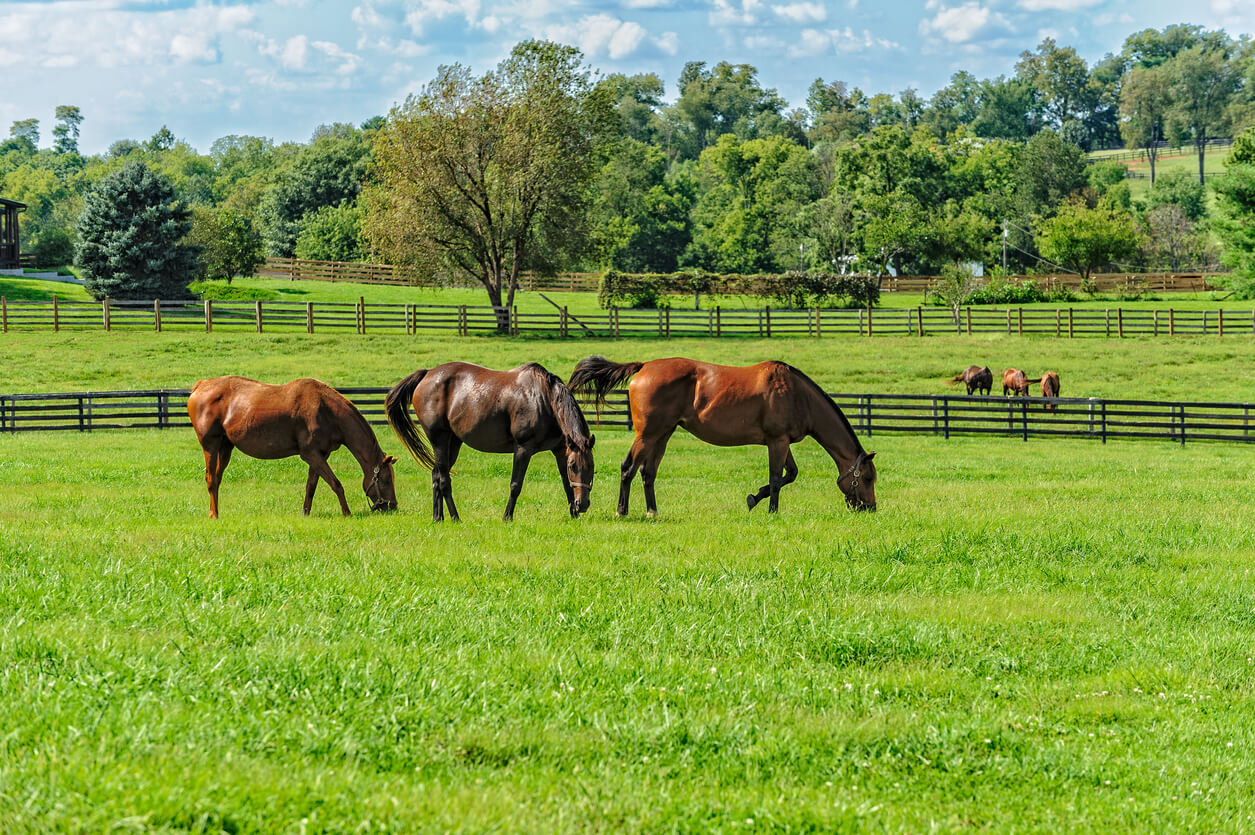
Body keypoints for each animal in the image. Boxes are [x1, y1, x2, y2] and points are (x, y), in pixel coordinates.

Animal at [185, 376, 396, 517]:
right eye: (385, 480)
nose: (392, 506)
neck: (326, 410)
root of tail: (201, 385)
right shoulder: (310, 454)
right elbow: (336, 484)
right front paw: (347, 513)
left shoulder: (320, 455)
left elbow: (311, 486)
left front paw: (306, 513)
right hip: (211, 447)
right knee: (211, 479)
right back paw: (214, 515)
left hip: (225, 448)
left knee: (217, 479)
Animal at [384, 359, 594, 522]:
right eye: (574, 466)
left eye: (592, 467)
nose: (583, 504)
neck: (545, 399)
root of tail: (427, 374)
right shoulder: (523, 449)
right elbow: (515, 485)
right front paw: (507, 517)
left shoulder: (560, 450)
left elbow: (566, 484)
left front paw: (574, 516)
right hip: (440, 440)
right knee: (443, 480)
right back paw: (455, 517)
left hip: (453, 442)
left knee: (436, 475)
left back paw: (438, 517)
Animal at [572, 351, 878, 514]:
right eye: (866, 478)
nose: (869, 508)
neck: (797, 394)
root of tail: (644, 366)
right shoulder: (777, 442)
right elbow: (776, 478)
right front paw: (770, 509)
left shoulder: (782, 442)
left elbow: (789, 474)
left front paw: (755, 497)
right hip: (647, 435)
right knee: (628, 468)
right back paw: (622, 511)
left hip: (663, 435)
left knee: (648, 473)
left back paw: (652, 511)